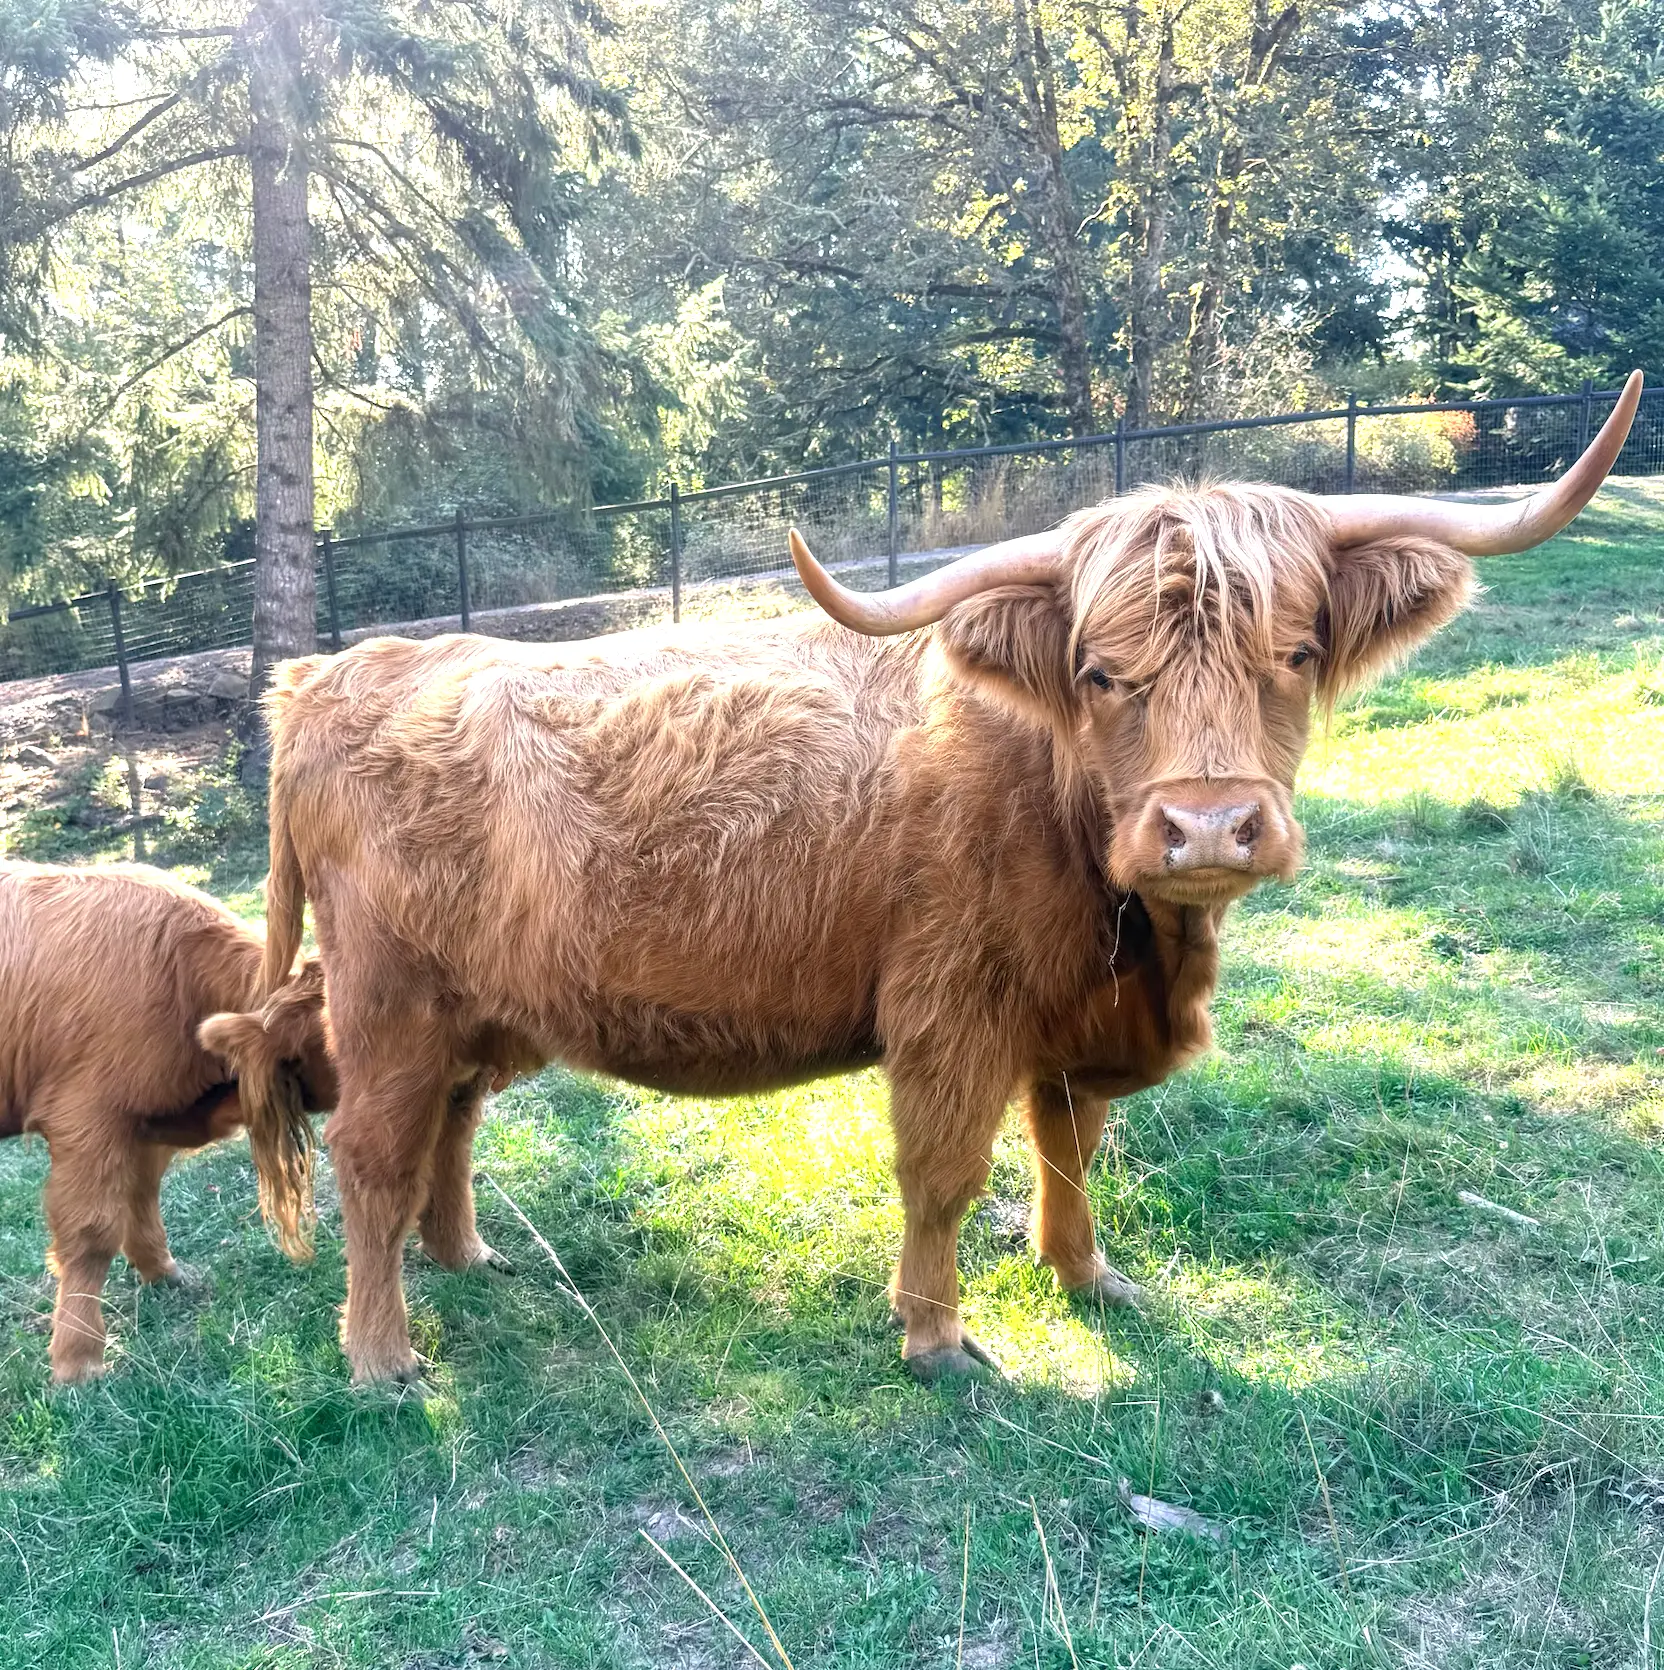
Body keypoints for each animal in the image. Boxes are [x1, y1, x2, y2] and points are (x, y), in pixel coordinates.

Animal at [0, 861, 336, 1383]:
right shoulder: (88, 1117)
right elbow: (91, 1233)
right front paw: (79, 1360)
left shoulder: (142, 1120)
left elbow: (141, 1195)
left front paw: (162, 1271)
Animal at [253, 374, 1641, 1385]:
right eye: (1099, 673)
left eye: (1293, 652)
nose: (1205, 828)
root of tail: (332, 673)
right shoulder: (949, 1008)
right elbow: (945, 1172)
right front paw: (934, 1335)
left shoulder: (1067, 1017)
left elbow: (1070, 1149)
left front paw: (1086, 1277)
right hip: (388, 998)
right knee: (373, 1153)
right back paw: (383, 1357)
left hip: (478, 1006)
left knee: (452, 1122)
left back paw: (467, 1258)